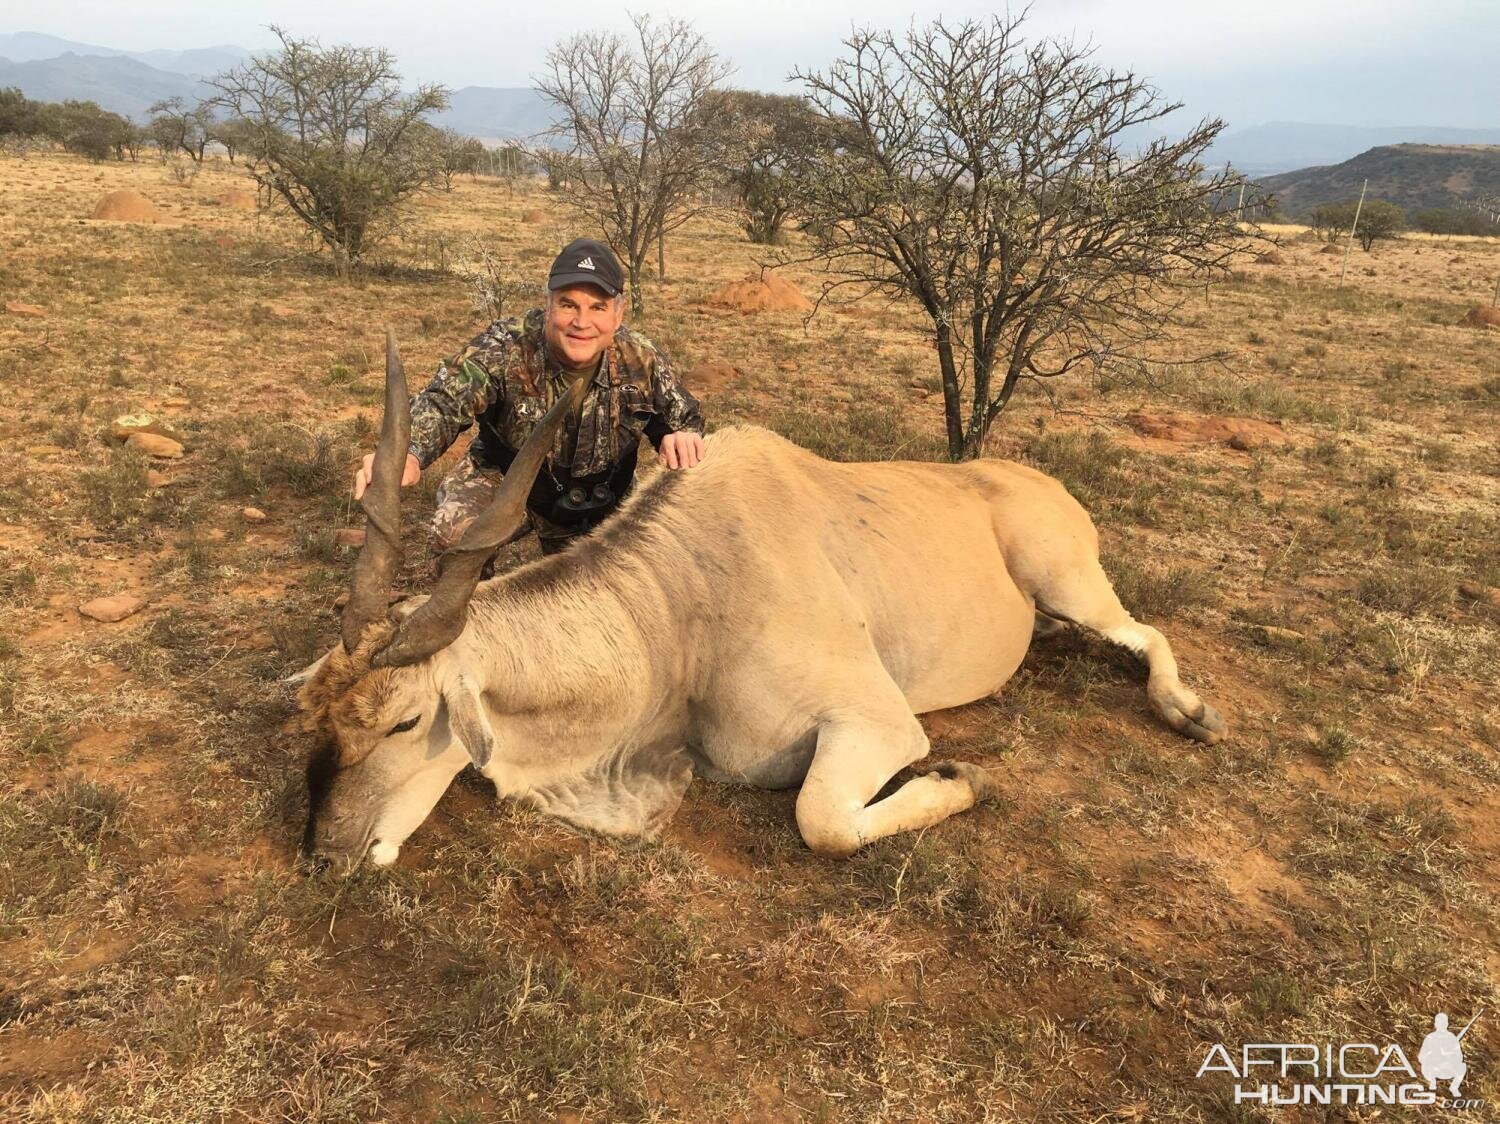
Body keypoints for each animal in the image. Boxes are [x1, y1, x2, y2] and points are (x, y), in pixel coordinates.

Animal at [298, 333, 1224, 870]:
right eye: (318, 720)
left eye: (406, 722)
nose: (324, 855)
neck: (675, 615)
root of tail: (1040, 481)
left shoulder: (878, 725)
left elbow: (823, 821)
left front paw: (959, 776)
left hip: (1067, 582)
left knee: (1143, 630)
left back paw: (1190, 711)